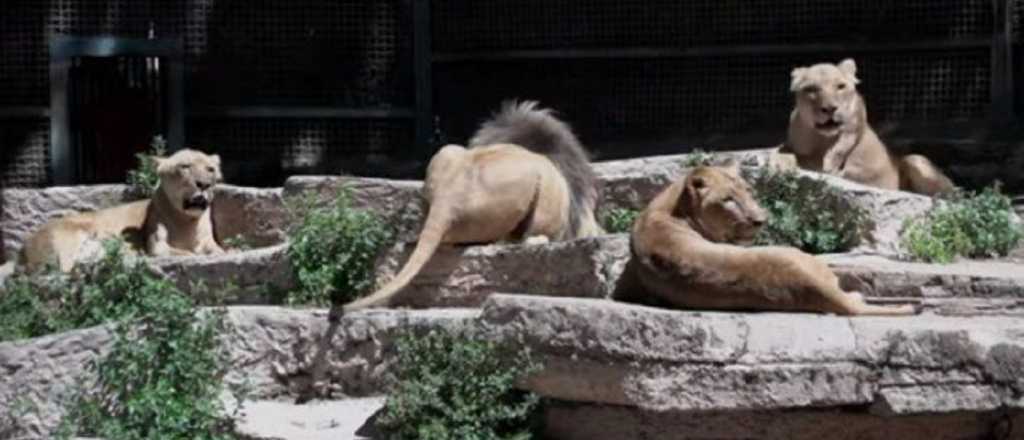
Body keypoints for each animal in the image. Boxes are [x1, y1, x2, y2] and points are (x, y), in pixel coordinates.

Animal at [20, 149, 225, 272]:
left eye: (210, 169)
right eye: (185, 166)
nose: (204, 184)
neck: (187, 221)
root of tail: (24, 246)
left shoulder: (209, 242)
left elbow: (220, 251)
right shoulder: (156, 247)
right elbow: (185, 253)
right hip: (65, 242)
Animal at [623, 163, 916, 316]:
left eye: (747, 191)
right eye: (728, 200)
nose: (760, 220)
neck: (668, 207)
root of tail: (813, 286)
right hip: (801, 256)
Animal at [773, 58, 955, 196]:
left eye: (840, 86)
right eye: (811, 89)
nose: (830, 108)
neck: (820, 139)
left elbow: (836, 154)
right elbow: (783, 151)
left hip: (915, 159)